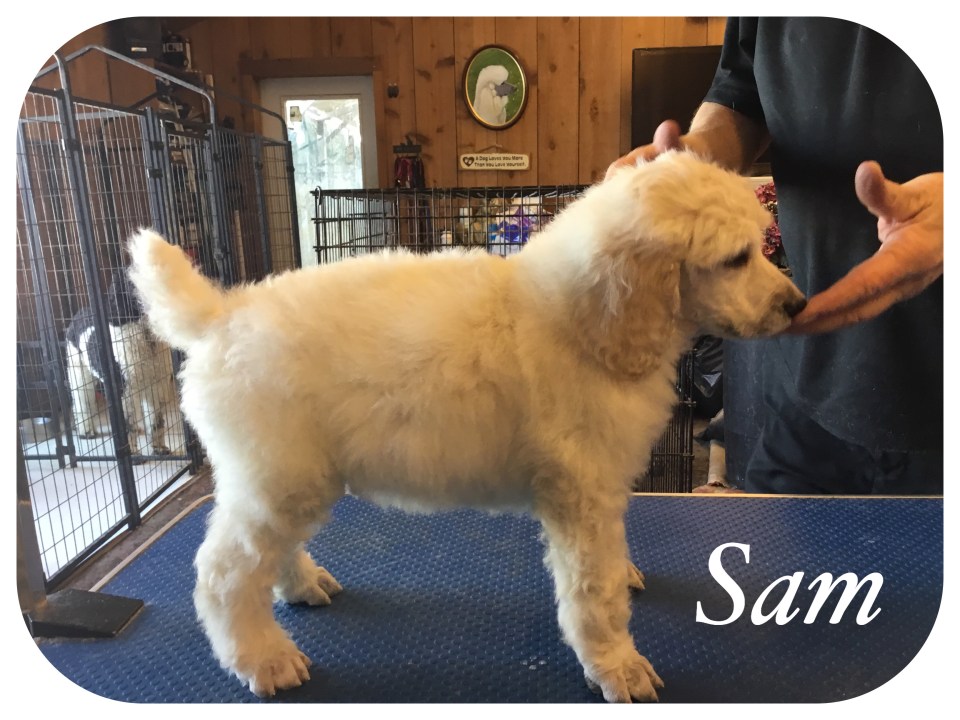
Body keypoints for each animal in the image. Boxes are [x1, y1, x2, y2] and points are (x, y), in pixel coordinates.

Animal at [65, 270, 175, 457]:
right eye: (131, 281)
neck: (145, 337)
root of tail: (80, 312)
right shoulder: (124, 389)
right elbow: (127, 424)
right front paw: (132, 452)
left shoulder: (155, 385)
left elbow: (156, 420)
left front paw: (159, 448)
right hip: (78, 373)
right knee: (82, 401)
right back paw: (86, 431)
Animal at [127, 151, 806, 702]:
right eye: (735, 259)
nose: (797, 306)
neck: (583, 318)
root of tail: (222, 315)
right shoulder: (580, 495)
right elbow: (595, 591)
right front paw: (617, 665)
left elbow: (610, 569)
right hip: (279, 476)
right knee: (225, 574)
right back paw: (264, 659)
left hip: (288, 477)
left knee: (266, 554)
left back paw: (300, 585)